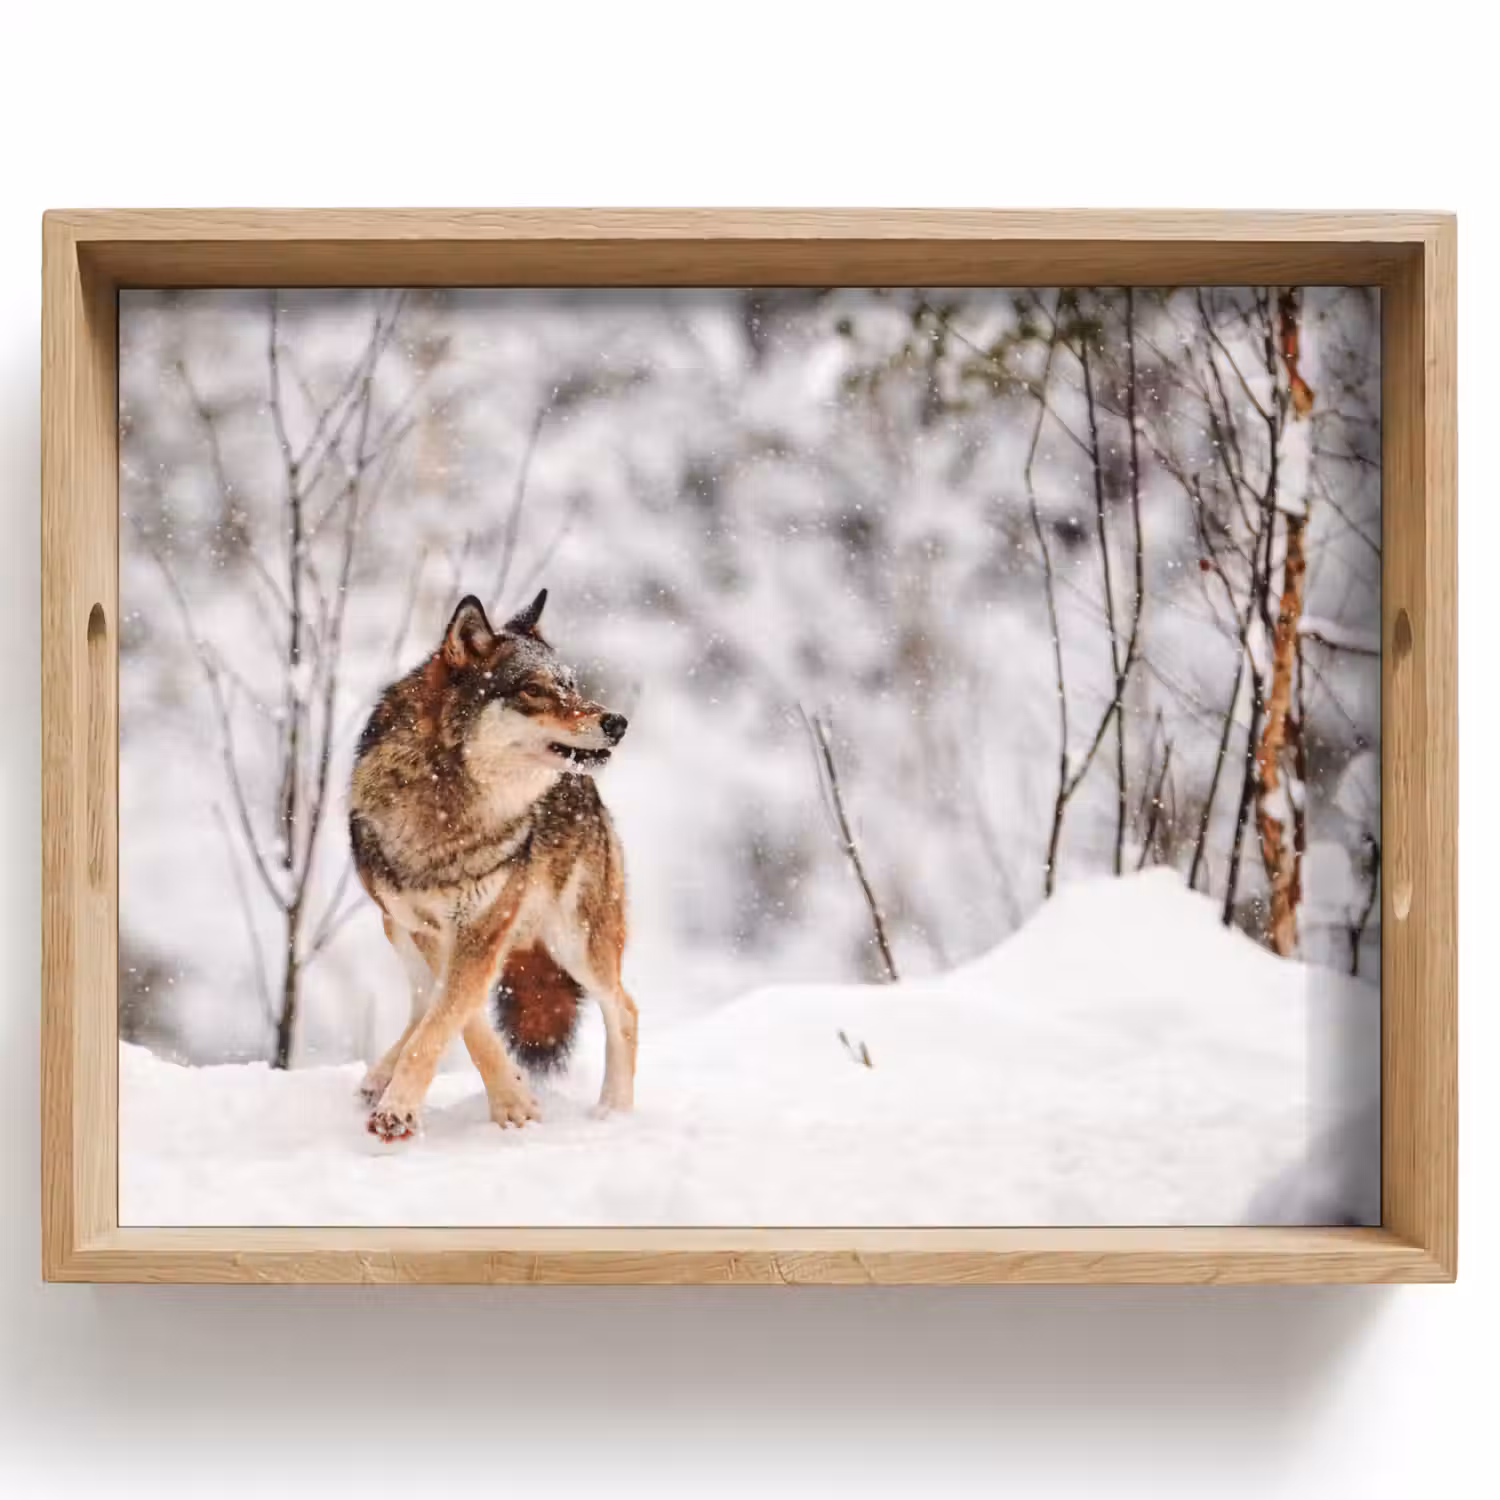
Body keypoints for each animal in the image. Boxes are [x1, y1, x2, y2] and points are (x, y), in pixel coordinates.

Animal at [348, 589, 636, 1142]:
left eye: (571, 685)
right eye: (533, 690)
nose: (616, 722)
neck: (451, 809)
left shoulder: (483, 927)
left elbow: (447, 1020)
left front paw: (402, 1111)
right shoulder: (431, 929)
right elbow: (460, 1020)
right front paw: (512, 1099)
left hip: (576, 942)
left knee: (625, 1009)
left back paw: (614, 1112)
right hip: (394, 925)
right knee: (422, 999)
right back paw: (378, 1075)